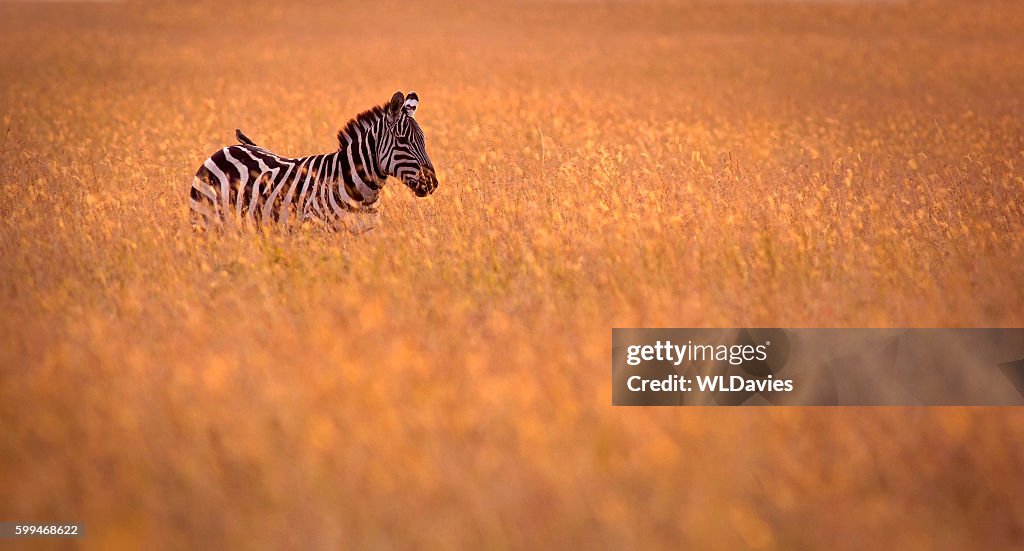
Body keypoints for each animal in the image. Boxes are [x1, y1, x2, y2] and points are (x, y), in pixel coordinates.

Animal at [188, 89, 436, 229]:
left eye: (424, 140)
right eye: (402, 141)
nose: (432, 183)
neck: (361, 191)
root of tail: (229, 148)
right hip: (205, 221)